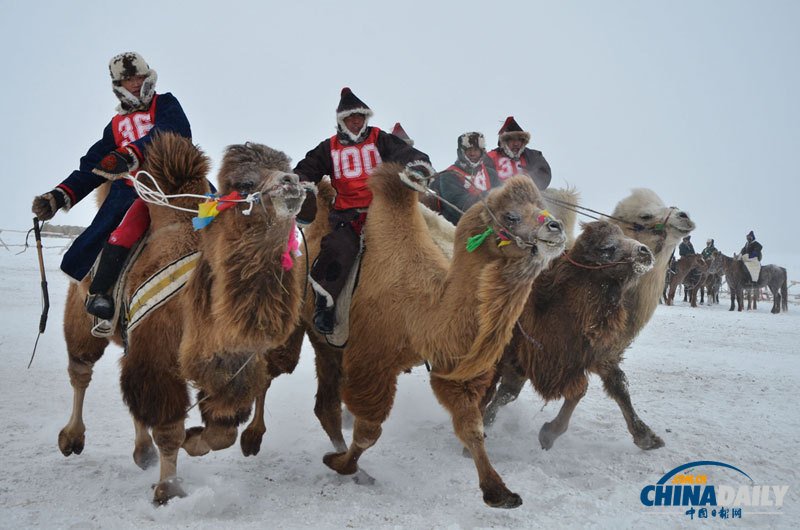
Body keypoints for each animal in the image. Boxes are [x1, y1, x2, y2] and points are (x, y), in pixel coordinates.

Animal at [482, 188, 692, 448]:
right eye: (645, 215)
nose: (684, 216)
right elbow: (508, 389)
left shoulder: (600, 352)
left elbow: (618, 385)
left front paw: (646, 436)